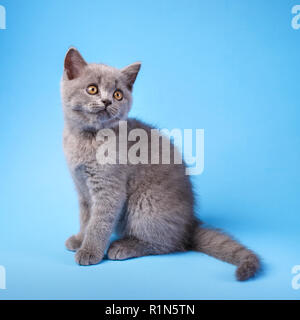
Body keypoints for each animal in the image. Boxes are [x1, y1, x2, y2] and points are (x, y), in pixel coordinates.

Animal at [61, 47, 260, 280]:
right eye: (92, 89)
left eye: (118, 94)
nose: (107, 101)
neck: (87, 139)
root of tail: (190, 224)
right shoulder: (82, 189)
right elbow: (86, 217)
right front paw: (79, 239)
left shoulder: (109, 189)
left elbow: (98, 223)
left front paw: (90, 251)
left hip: (145, 204)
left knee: (168, 244)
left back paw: (123, 247)